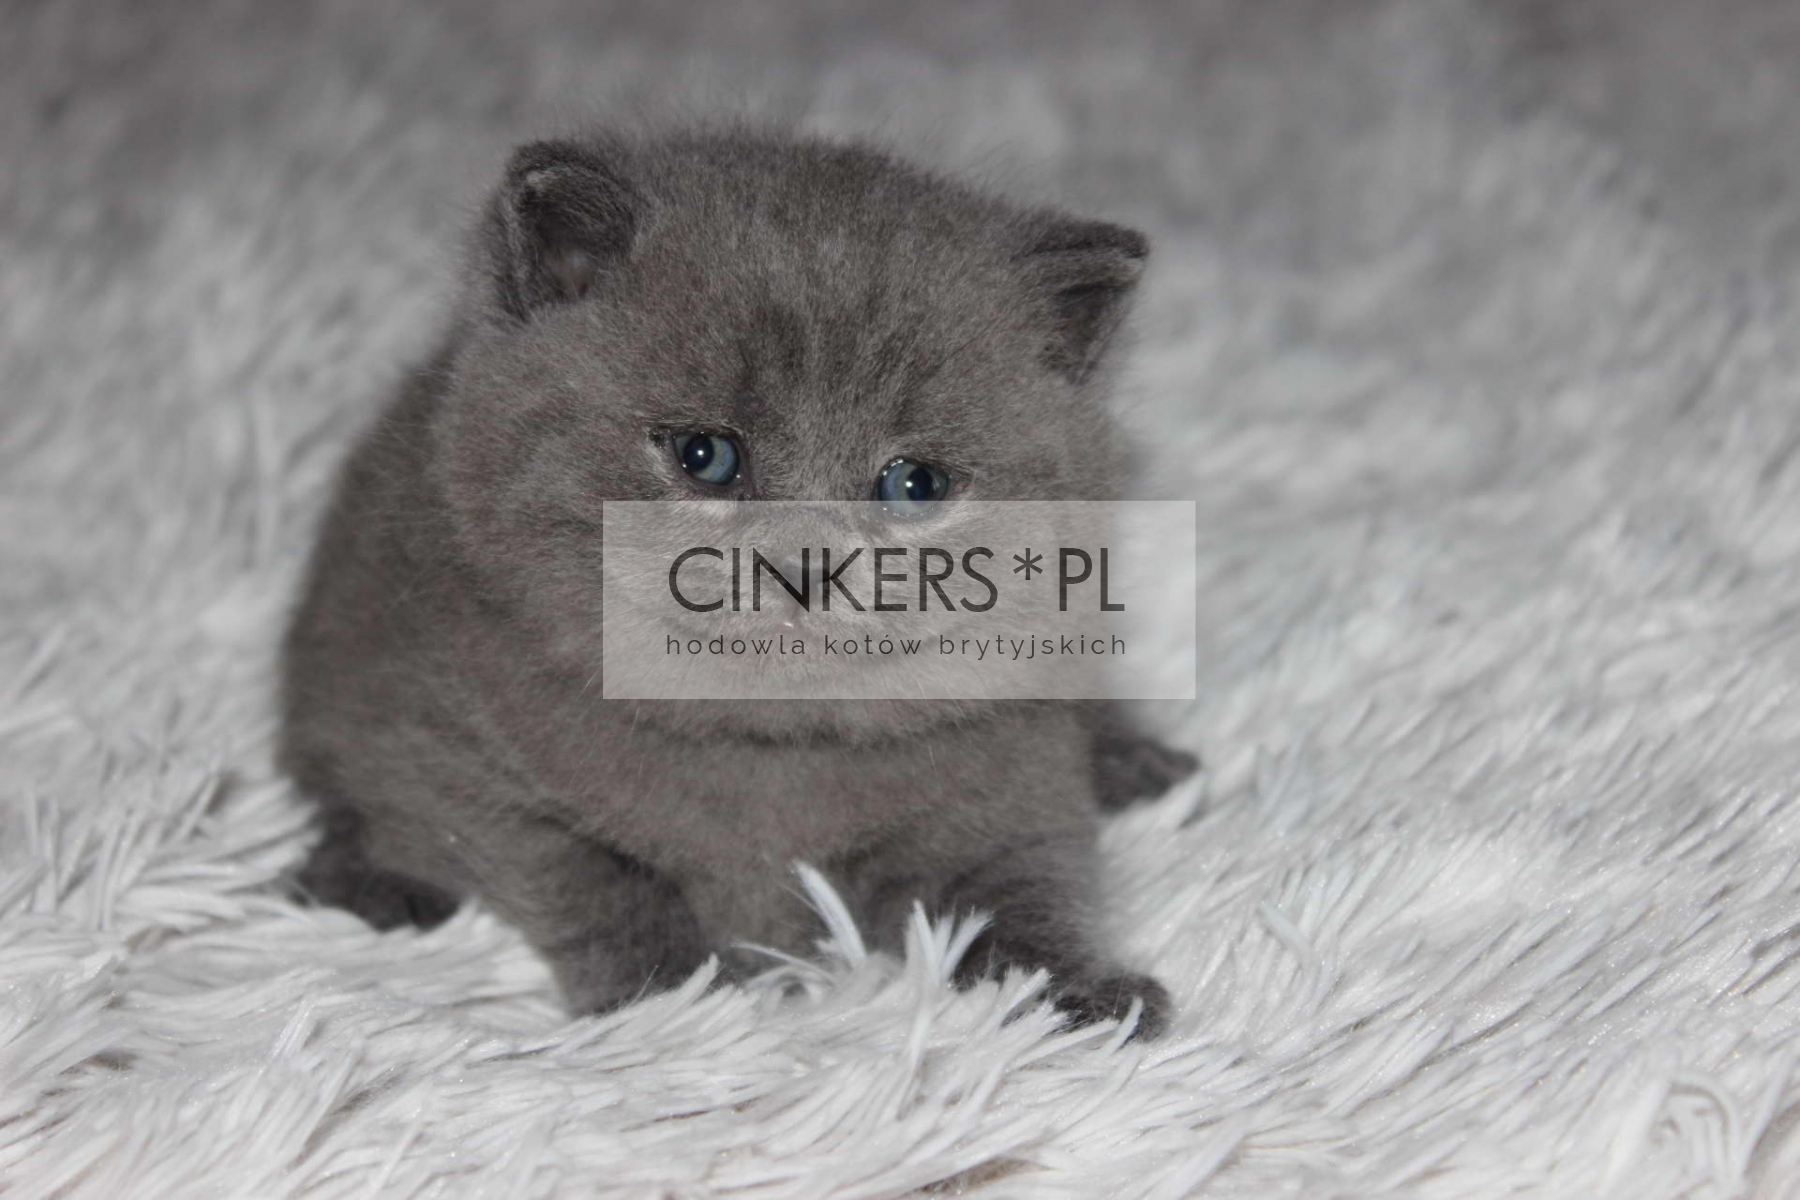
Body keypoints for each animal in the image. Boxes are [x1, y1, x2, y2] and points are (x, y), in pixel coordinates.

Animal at [281, 126, 1196, 1038]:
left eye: (915, 483)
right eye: (706, 455)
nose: (807, 566)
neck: (767, 745)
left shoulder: (1012, 775)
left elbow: (1027, 887)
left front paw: (1082, 995)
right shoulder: (453, 754)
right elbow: (591, 878)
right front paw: (672, 1006)